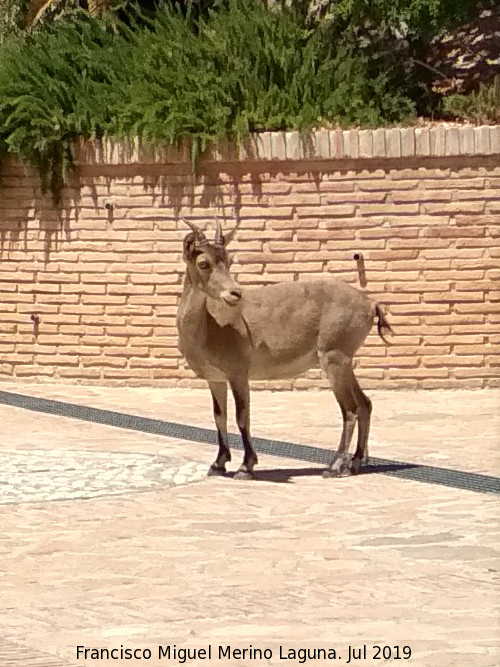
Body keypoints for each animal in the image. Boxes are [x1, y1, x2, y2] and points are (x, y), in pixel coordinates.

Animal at [176, 219, 390, 480]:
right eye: (203, 263)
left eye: (228, 261)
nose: (235, 293)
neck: (210, 326)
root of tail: (370, 304)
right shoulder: (215, 378)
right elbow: (219, 416)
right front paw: (218, 464)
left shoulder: (238, 373)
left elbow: (242, 416)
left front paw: (246, 466)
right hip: (344, 359)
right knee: (364, 403)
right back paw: (356, 463)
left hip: (334, 356)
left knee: (349, 409)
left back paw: (335, 465)